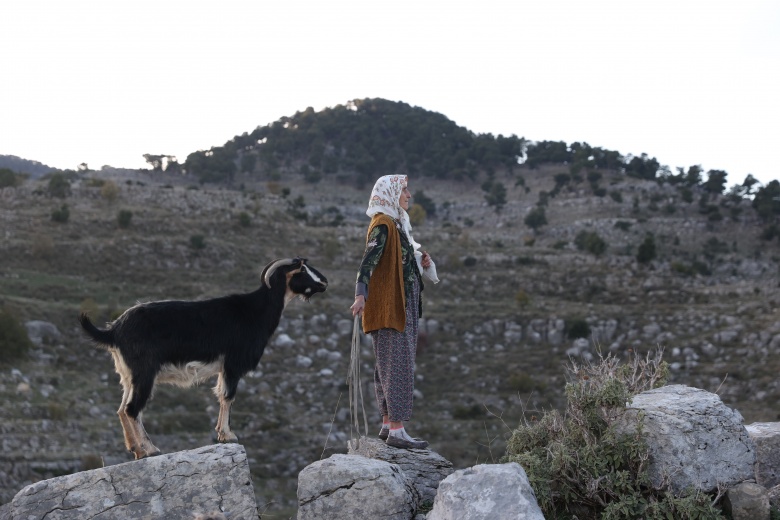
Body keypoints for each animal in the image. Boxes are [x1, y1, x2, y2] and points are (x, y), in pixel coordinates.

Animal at [81, 258, 330, 458]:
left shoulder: (223, 368)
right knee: (133, 408)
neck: (255, 311)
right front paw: (228, 435)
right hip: (144, 372)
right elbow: (228, 396)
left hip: (127, 374)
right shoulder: (233, 363)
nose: (325, 282)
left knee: (122, 408)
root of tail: (114, 330)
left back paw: (137, 450)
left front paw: (222, 433)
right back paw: (150, 449)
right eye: (302, 269)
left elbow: (220, 394)